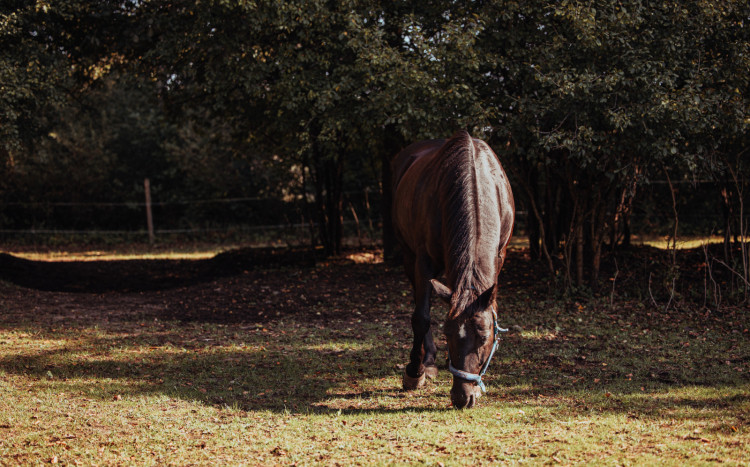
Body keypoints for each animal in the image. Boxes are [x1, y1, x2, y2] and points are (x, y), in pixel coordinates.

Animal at [390, 132, 516, 410]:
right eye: (447, 335)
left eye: (485, 338)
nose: (462, 397)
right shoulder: (424, 262)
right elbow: (422, 317)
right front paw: (414, 372)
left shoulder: (499, 256)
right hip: (408, 255)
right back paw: (426, 362)